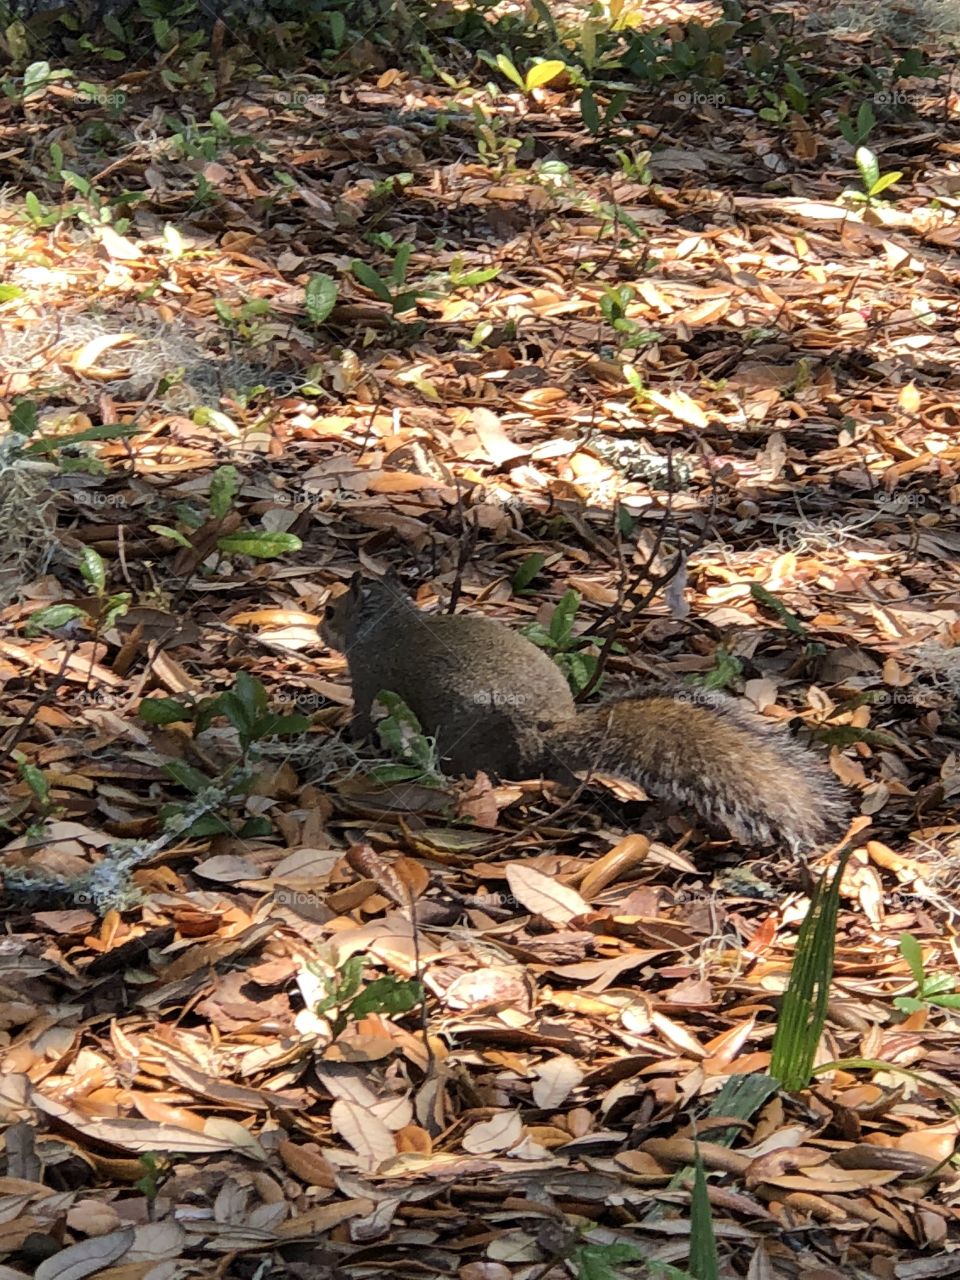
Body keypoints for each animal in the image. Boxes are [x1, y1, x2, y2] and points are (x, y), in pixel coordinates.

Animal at [321, 574, 848, 851]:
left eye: (330, 611)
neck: (388, 623)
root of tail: (546, 736)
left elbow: (363, 712)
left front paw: (347, 735)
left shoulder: (369, 676)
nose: (319, 627)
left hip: (464, 735)